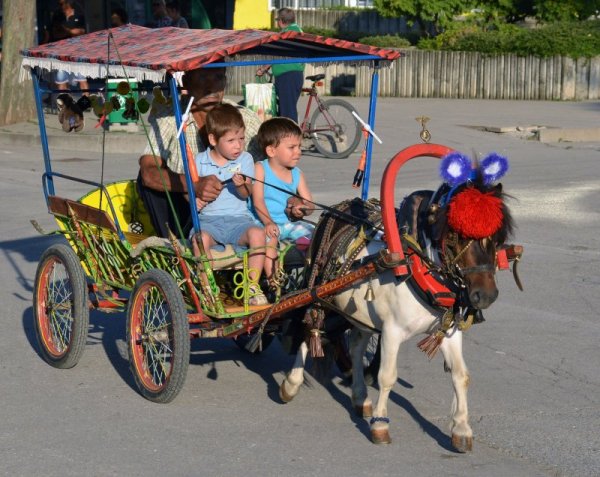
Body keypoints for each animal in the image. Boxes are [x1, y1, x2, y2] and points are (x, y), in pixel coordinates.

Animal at [276, 145, 516, 450]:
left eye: (497, 237)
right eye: (456, 236)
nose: (484, 296)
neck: (418, 266)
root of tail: (340, 208)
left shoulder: (449, 331)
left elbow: (461, 376)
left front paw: (461, 429)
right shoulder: (391, 331)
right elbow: (387, 376)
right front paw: (380, 425)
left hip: (357, 310)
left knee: (356, 344)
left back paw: (359, 397)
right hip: (318, 293)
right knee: (311, 329)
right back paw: (291, 384)